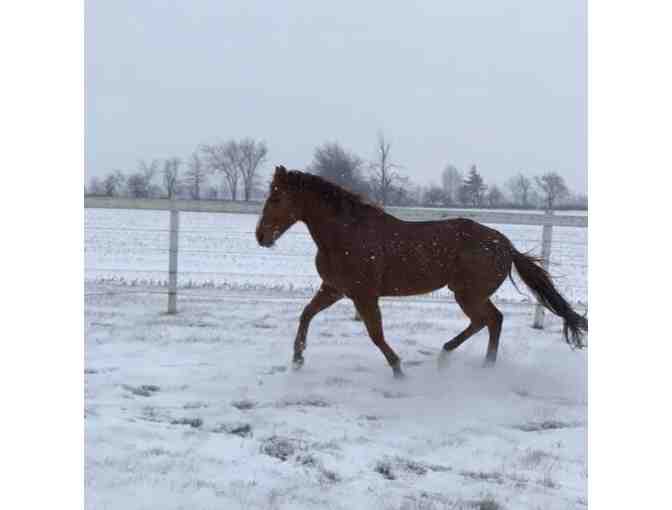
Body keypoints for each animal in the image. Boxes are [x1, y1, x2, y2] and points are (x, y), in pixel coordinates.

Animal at [258, 165, 588, 376]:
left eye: (276, 197)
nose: (261, 236)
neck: (345, 234)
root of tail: (506, 245)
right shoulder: (334, 289)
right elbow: (306, 315)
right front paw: (297, 359)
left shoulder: (364, 295)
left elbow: (375, 334)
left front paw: (398, 369)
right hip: (468, 294)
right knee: (490, 321)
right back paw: (466, 360)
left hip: (468, 294)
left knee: (490, 320)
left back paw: (463, 360)